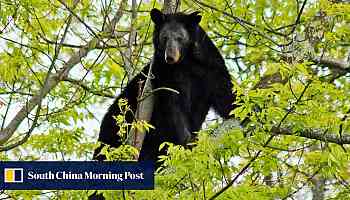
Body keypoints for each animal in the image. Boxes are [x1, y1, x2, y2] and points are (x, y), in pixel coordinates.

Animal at [93, 8, 237, 164]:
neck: (186, 62)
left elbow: (224, 91)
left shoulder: (210, 66)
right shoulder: (164, 73)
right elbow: (172, 106)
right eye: (164, 37)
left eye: (180, 37)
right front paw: (187, 142)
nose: (170, 57)